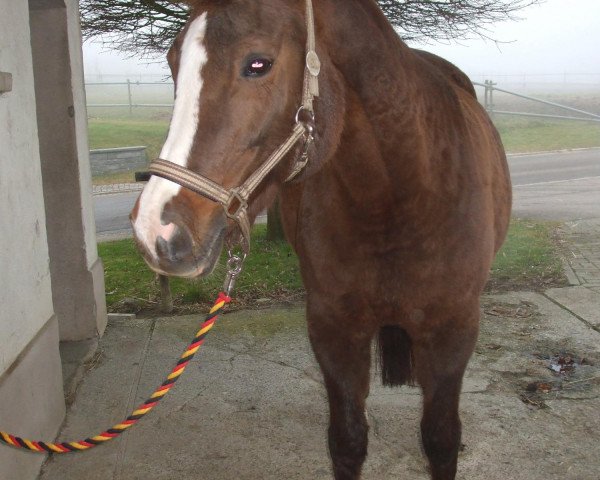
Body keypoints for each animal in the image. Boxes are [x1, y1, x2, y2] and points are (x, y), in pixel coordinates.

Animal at [130, 0, 510, 478]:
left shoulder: (453, 329)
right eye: (172, 62)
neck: (395, 205)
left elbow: (441, 440)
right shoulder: (333, 328)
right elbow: (347, 440)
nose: (156, 230)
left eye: (258, 64)